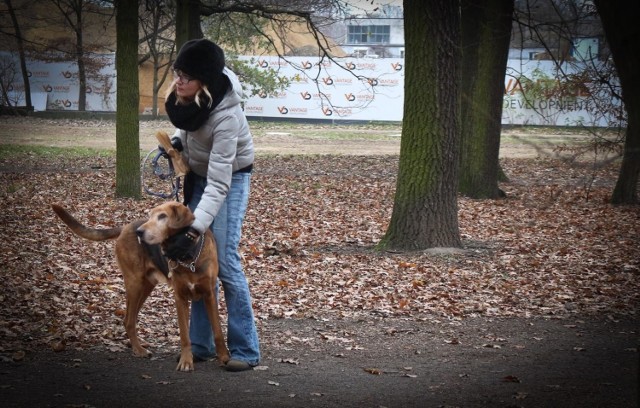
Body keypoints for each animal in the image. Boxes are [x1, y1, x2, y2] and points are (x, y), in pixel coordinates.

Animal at [50, 202, 230, 372]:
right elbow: (185, 336)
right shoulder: (180, 297)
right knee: (129, 320)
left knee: (130, 319)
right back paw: (139, 350)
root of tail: (126, 227)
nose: (139, 232)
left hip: (145, 286)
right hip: (135, 283)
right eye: (150, 216)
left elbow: (218, 331)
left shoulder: (209, 295)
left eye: (162, 216)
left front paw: (224, 357)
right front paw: (186, 361)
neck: (188, 255)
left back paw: (139, 344)